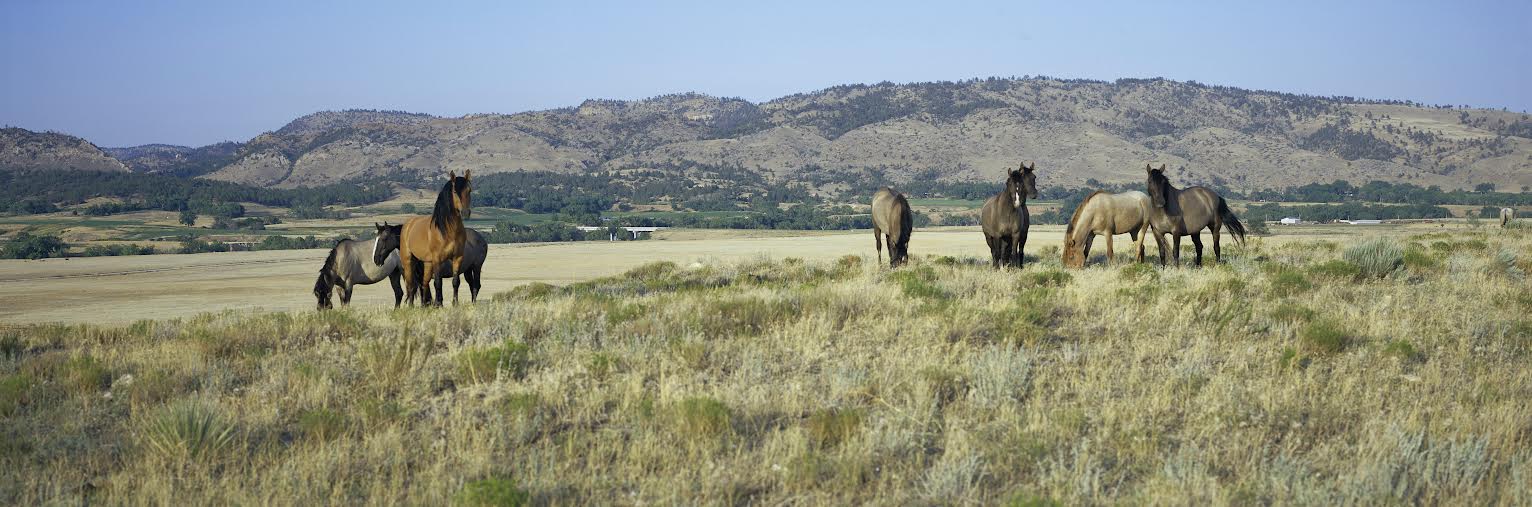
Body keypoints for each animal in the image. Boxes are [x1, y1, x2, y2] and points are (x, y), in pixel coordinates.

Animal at [398, 170, 468, 307]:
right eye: (455, 191)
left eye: (469, 190)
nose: (466, 212)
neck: (448, 230)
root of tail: (408, 224)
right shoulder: (437, 259)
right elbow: (438, 282)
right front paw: (438, 304)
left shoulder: (458, 257)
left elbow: (455, 281)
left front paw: (455, 303)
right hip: (408, 261)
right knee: (411, 285)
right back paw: (411, 306)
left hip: (427, 263)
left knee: (424, 284)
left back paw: (423, 307)